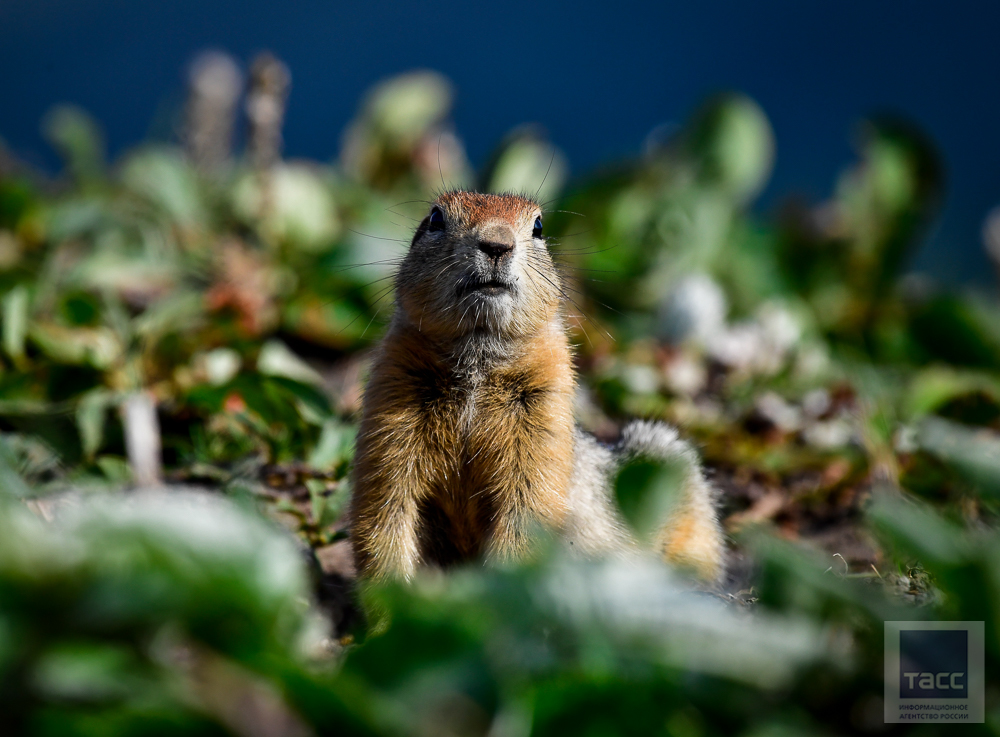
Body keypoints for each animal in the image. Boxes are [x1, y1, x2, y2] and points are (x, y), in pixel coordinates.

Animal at [348, 194, 724, 580]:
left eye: (539, 227)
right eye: (436, 218)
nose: (497, 244)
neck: (478, 358)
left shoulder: (545, 407)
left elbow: (527, 506)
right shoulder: (392, 398)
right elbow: (385, 508)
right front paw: (393, 590)